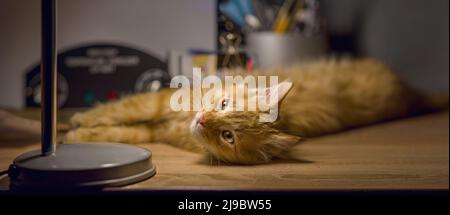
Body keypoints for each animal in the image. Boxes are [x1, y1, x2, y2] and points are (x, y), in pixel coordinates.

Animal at [64, 58, 446, 164]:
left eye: (227, 135)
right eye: (223, 104)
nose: (202, 118)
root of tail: (409, 94)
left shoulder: (154, 128)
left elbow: (123, 131)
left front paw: (77, 133)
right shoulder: (156, 102)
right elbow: (117, 110)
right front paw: (76, 122)